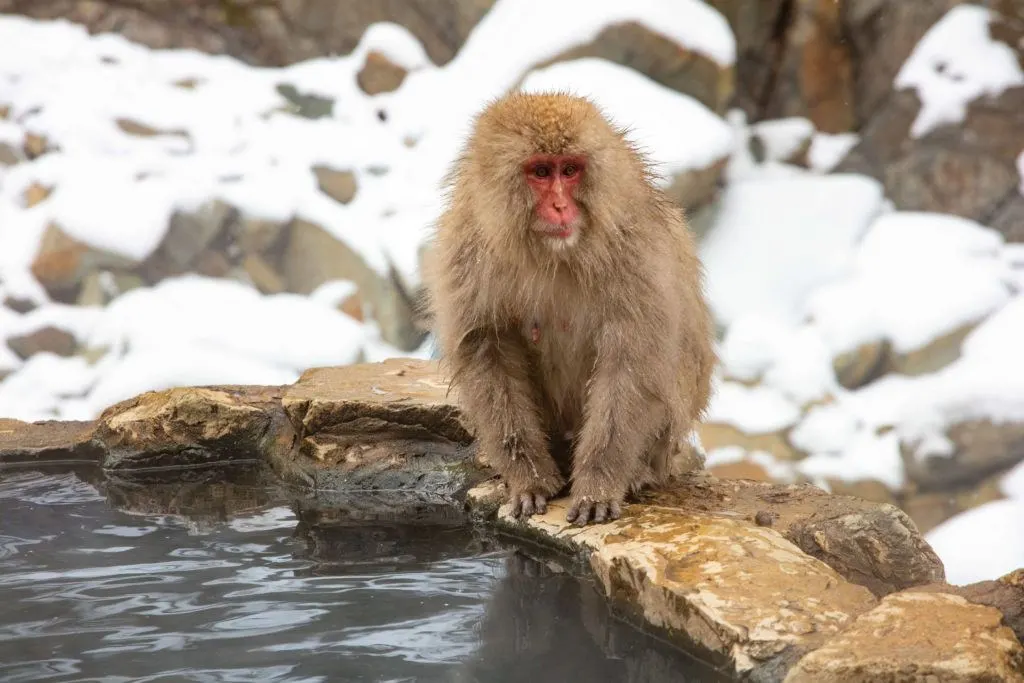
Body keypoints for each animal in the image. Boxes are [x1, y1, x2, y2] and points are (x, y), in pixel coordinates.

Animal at [422, 92, 716, 526]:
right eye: (541, 172)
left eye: (571, 170)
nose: (561, 206)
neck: (552, 254)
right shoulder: (468, 247)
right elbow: (487, 349)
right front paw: (530, 478)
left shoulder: (635, 249)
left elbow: (630, 362)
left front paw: (598, 483)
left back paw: (635, 472)